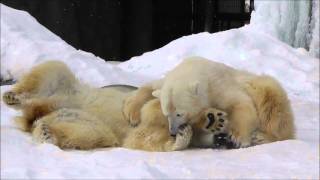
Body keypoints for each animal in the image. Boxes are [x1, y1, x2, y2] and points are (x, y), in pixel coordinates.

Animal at [2, 61, 230, 151]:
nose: (223, 139)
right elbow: (150, 109)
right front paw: (210, 119)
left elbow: (142, 139)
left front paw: (184, 135)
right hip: (69, 92)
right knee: (53, 70)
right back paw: (12, 97)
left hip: (78, 117)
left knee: (87, 132)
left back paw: (47, 133)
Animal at [122, 56, 296, 148]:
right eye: (167, 114)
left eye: (179, 113)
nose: (172, 132)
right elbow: (151, 87)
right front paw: (132, 114)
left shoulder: (218, 85)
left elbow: (241, 103)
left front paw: (238, 137)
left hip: (261, 86)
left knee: (273, 105)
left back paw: (263, 137)